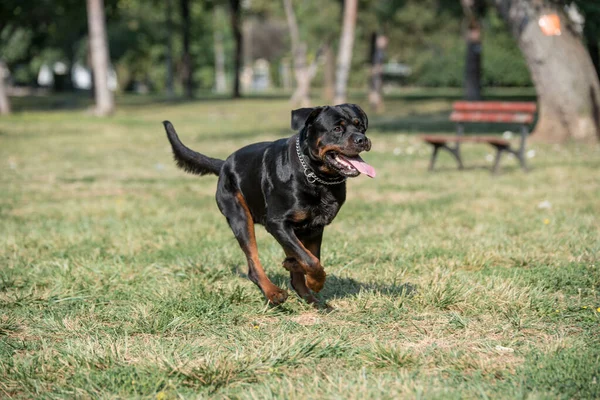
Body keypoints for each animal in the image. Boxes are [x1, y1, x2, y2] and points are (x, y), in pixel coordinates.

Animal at [164, 104, 376, 304]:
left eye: (360, 127)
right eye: (337, 129)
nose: (362, 139)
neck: (313, 175)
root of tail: (224, 165)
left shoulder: (315, 227)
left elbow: (309, 256)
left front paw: (304, 274)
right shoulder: (277, 222)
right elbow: (311, 260)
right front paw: (315, 281)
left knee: (295, 267)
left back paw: (308, 295)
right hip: (240, 216)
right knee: (254, 264)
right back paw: (274, 292)